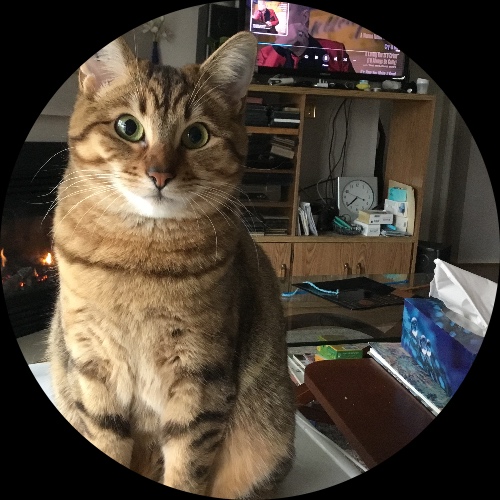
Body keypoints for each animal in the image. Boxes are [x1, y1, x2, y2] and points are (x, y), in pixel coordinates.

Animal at [46, 31, 296, 498]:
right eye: (128, 127)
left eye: (196, 135)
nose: (159, 174)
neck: (137, 259)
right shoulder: (93, 365)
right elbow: (107, 438)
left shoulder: (201, 376)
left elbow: (187, 466)